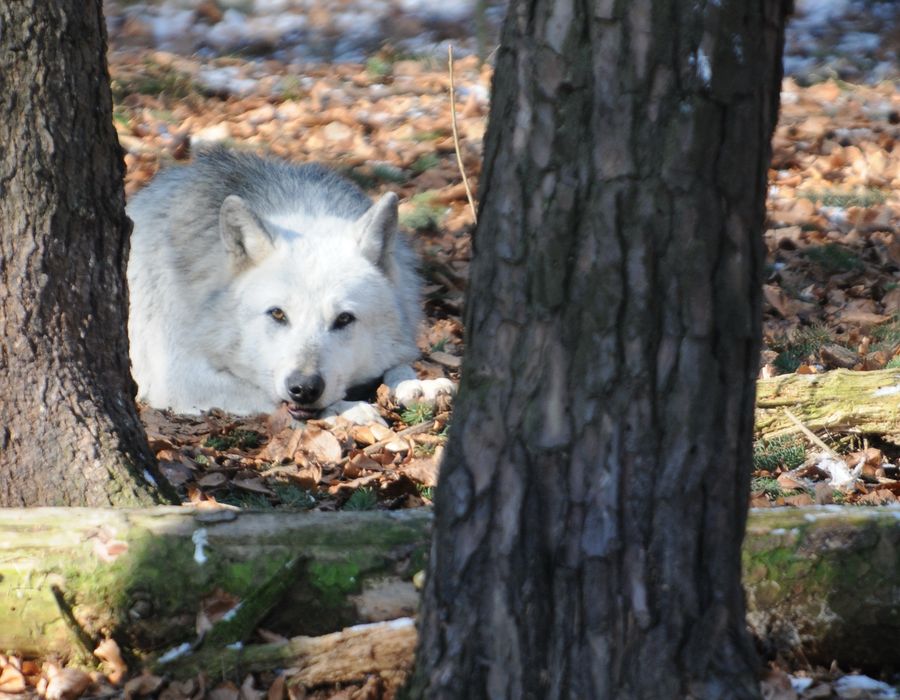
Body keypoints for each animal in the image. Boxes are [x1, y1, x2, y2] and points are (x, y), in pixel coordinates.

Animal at [126, 148, 453, 423]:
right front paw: (349, 410)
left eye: (344, 319)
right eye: (277, 314)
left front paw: (416, 385)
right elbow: (269, 396)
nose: (304, 388)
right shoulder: (180, 378)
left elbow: (398, 364)